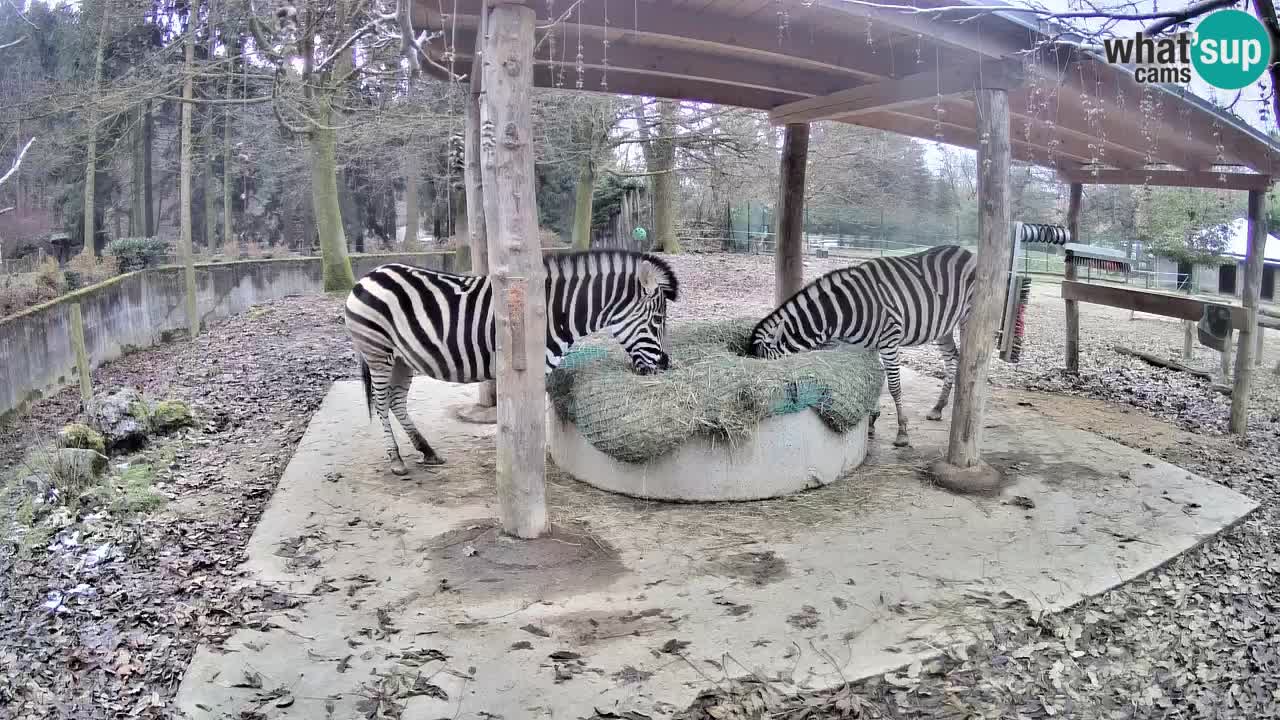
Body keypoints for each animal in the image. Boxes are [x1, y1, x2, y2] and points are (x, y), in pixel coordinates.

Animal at [340, 249, 680, 474]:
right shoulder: (531, 370)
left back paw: (427, 451)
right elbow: (529, 420)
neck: (553, 312)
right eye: (658, 321)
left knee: (396, 401)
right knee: (382, 402)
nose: (664, 366)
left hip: (403, 358)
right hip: (378, 352)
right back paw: (396, 460)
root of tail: (368, 275)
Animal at [747, 243, 972, 445]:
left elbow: (893, 386)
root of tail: (965, 251)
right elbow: (873, 376)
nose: (761, 406)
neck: (842, 311)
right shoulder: (864, 345)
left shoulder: (889, 340)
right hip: (944, 327)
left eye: (771, 370)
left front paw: (902, 431)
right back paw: (938, 408)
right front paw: (871, 421)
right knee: (952, 357)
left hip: (966, 318)